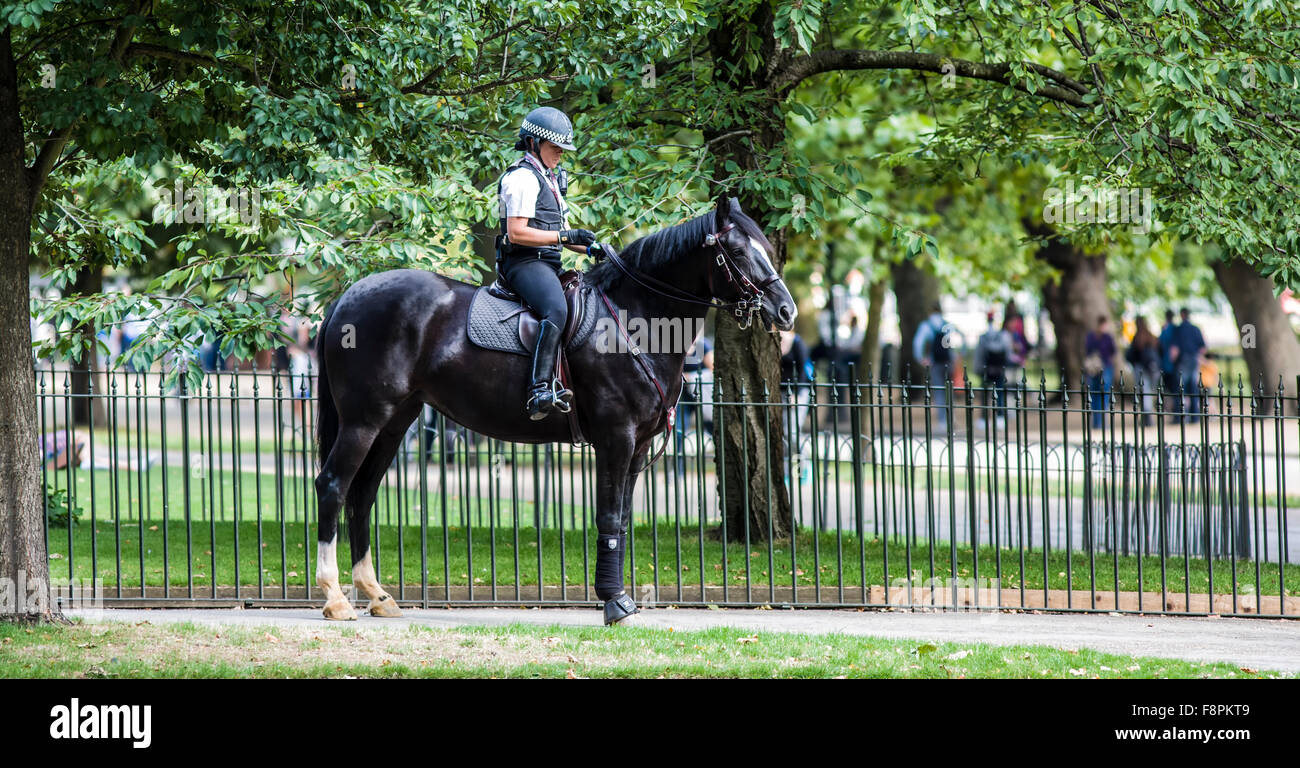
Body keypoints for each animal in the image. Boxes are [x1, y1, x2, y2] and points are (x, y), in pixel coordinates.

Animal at [317, 194, 800, 621]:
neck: (633, 321)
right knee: (333, 486)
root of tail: (348, 297)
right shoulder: (616, 438)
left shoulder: (639, 445)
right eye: (736, 250)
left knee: (362, 494)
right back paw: (336, 598)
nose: (785, 311)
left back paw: (376, 594)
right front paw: (613, 603)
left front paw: (619, 597)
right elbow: (608, 516)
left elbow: (622, 520)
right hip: (364, 421)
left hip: (395, 422)